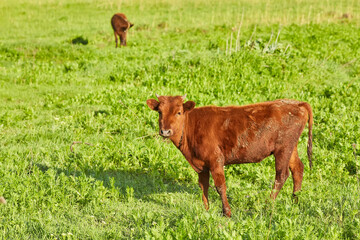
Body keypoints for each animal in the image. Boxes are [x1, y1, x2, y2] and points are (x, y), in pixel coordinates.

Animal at [146, 95, 312, 218]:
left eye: (179, 112)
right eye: (160, 112)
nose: (165, 131)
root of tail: (297, 103)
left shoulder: (216, 160)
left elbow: (220, 186)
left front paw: (226, 212)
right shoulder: (201, 165)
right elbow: (203, 186)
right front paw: (206, 209)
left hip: (283, 149)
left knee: (281, 175)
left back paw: (267, 204)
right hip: (291, 147)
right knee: (297, 169)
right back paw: (295, 201)